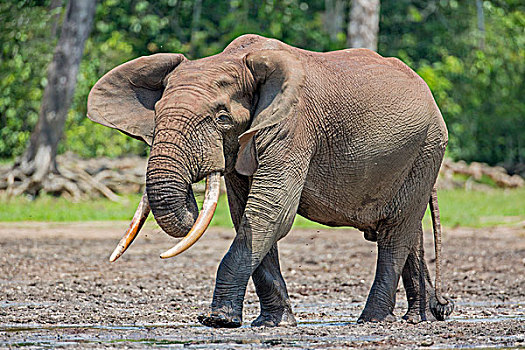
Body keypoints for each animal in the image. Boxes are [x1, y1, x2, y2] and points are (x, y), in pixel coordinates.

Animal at [86, 34, 450, 326]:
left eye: (222, 118)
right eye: (157, 113)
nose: (192, 199)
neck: (236, 59)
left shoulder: (294, 126)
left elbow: (270, 211)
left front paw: (217, 320)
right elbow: (245, 214)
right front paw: (273, 323)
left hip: (427, 148)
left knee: (395, 233)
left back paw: (374, 320)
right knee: (409, 231)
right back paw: (424, 317)